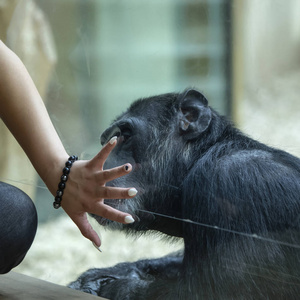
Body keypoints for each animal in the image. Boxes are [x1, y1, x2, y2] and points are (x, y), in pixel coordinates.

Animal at [68, 88, 300, 298]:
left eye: (125, 135)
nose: (98, 165)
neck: (198, 158)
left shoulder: (235, 182)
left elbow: (206, 292)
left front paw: (109, 286)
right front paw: (106, 274)